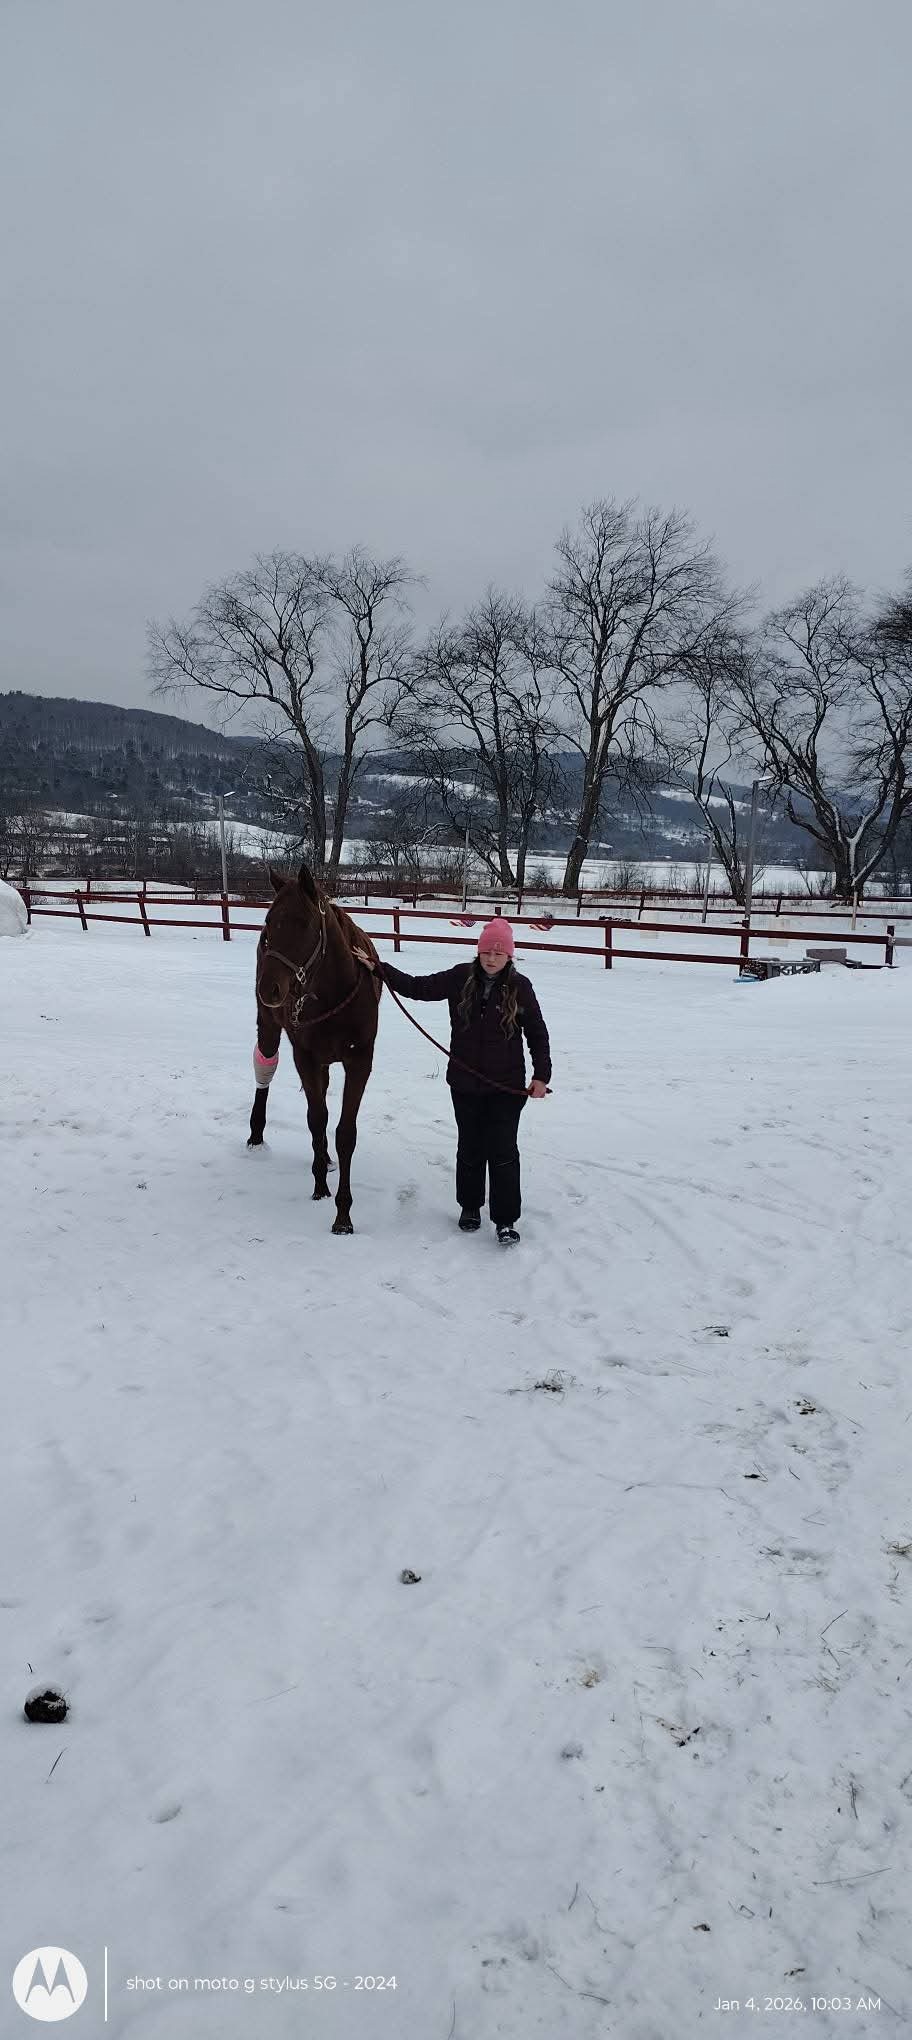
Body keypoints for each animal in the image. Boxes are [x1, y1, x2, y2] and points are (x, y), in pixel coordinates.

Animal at [248, 864, 382, 1234]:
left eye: (304, 923)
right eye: (269, 920)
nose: (269, 988)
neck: (334, 994)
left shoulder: (359, 1060)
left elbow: (345, 1133)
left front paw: (343, 1215)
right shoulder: (304, 1057)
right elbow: (316, 1119)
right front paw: (321, 1185)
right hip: (269, 1027)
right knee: (265, 1067)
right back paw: (256, 1133)